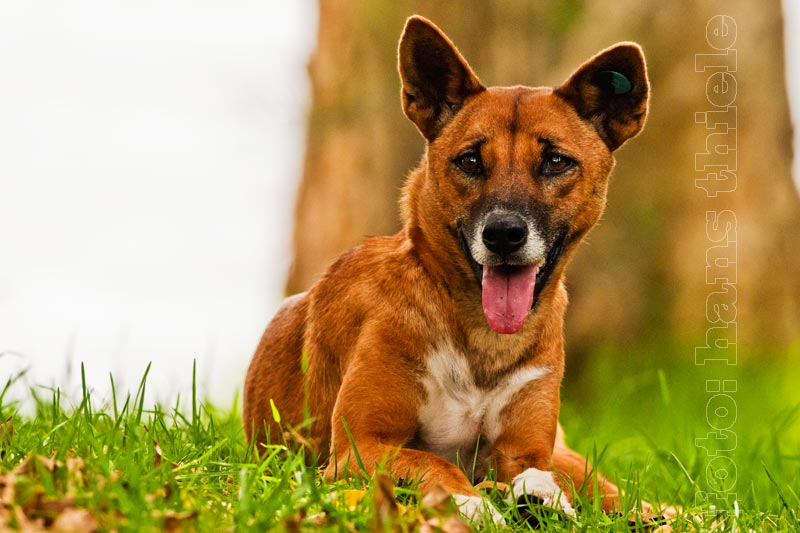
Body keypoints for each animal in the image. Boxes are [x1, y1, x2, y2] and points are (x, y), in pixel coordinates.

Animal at [244, 13, 648, 524]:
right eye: (470, 160)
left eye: (556, 161)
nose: (503, 234)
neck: (482, 342)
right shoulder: (359, 448)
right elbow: (433, 461)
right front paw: (474, 503)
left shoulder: (529, 450)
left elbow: (536, 472)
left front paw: (537, 497)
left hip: (573, 460)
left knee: (624, 495)